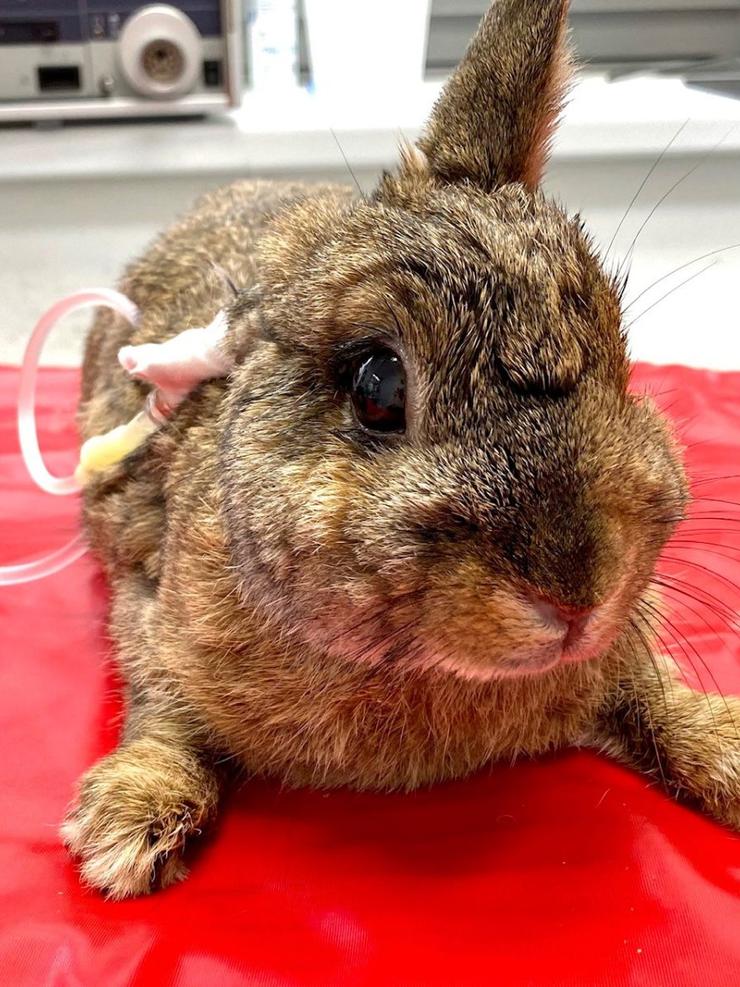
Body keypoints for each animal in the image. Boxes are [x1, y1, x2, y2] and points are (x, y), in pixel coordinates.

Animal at [62, 0, 740, 900]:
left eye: (619, 358)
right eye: (377, 386)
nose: (577, 594)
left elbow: (656, 696)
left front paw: (730, 747)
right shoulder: (145, 603)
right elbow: (161, 708)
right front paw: (127, 821)